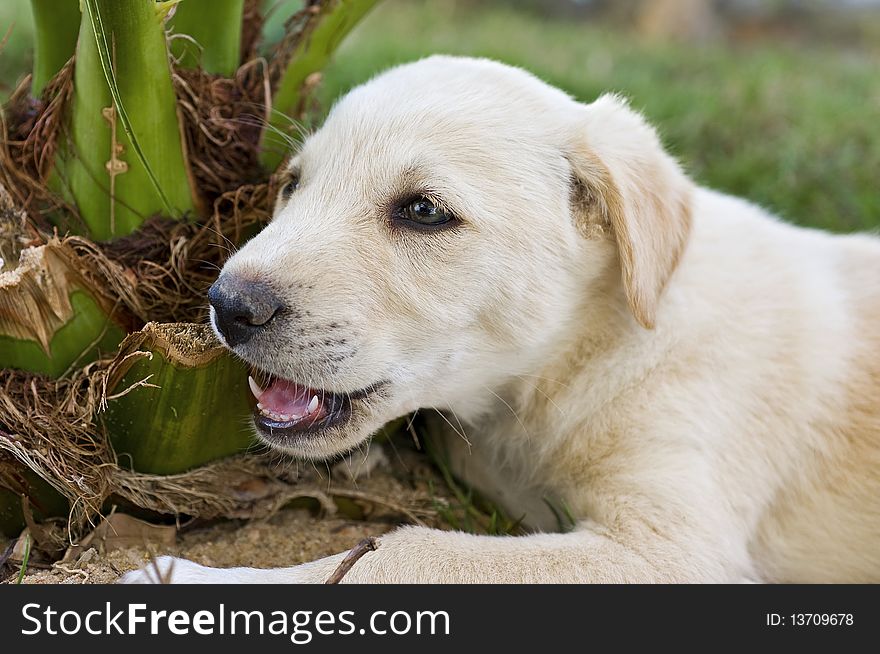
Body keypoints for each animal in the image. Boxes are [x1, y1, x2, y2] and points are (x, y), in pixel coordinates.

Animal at [124, 53, 880, 580]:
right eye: (292, 185)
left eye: (422, 210)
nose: (227, 305)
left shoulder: (669, 552)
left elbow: (405, 554)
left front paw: (191, 582)